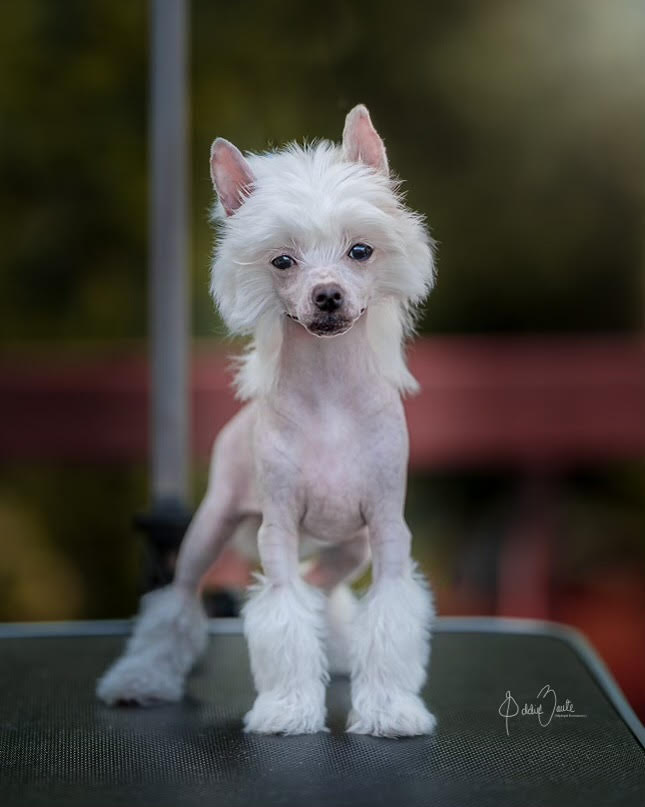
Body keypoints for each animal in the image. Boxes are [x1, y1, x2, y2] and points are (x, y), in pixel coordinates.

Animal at [97, 107, 438, 740]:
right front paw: (288, 708)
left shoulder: (387, 533)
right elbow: (281, 613)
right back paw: (142, 678)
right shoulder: (276, 531)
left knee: (321, 586)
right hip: (209, 529)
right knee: (178, 602)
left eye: (361, 250)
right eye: (283, 260)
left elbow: (388, 617)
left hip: (349, 549)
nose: (326, 295)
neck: (330, 397)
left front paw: (389, 709)